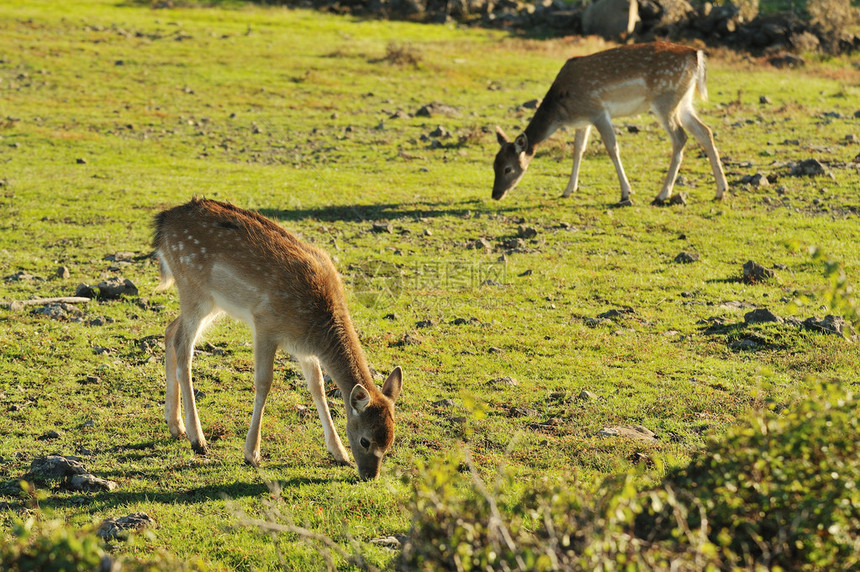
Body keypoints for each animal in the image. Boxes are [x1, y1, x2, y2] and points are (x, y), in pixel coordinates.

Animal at [154, 199, 404, 480]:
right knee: (183, 347)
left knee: (170, 330)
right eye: (365, 440)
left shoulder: (304, 348)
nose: (370, 475)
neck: (318, 323)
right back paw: (198, 440)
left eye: (390, 441)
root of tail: (162, 224)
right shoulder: (265, 325)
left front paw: (340, 454)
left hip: (214, 303)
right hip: (194, 290)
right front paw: (252, 454)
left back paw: (175, 426)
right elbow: (264, 383)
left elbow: (317, 386)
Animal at [494, 43, 728, 208]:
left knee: (680, 137)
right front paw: (568, 190)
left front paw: (626, 192)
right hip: (684, 101)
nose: (495, 194)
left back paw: (661, 195)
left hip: (665, 99)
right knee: (705, 131)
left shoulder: (598, 111)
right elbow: (578, 150)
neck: (561, 108)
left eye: (508, 168)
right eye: (494, 165)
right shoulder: (583, 121)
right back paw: (720, 191)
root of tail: (695, 55)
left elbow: (612, 148)